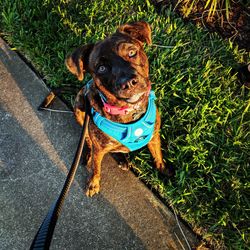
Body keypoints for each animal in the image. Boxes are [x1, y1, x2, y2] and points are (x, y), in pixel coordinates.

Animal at [65, 21, 173, 197]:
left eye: (132, 52)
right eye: (101, 68)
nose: (128, 82)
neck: (130, 111)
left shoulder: (154, 136)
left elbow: (158, 156)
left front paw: (163, 169)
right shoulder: (99, 149)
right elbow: (96, 168)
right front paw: (93, 184)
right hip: (80, 108)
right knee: (87, 138)